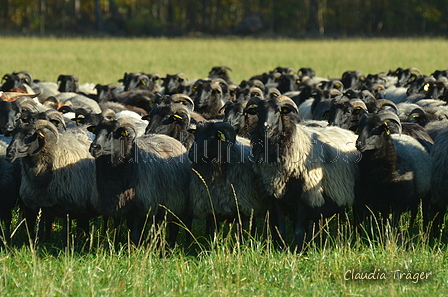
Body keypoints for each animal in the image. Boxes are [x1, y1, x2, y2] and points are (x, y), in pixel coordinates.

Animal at [247, 96, 358, 251]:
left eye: (278, 111)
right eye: (257, 111)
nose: (265, 127)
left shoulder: (304, 195)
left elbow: (298, 230)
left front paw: (298, 251)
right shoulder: (277, 196)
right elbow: (281, 230)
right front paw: (282, 249)